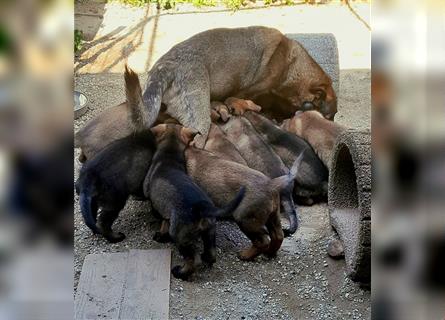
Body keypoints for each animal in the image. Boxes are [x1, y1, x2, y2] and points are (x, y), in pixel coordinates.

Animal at [144, 124, 245, 278]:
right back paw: (206, 259)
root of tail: (202, 207)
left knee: (193, 260)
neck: (169, 154)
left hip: (181, 237)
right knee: (211, 255)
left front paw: (160, 236)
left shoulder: (155, 203)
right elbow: (165, 222)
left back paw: (180, 272)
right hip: (210, 231)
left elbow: (161, 221)